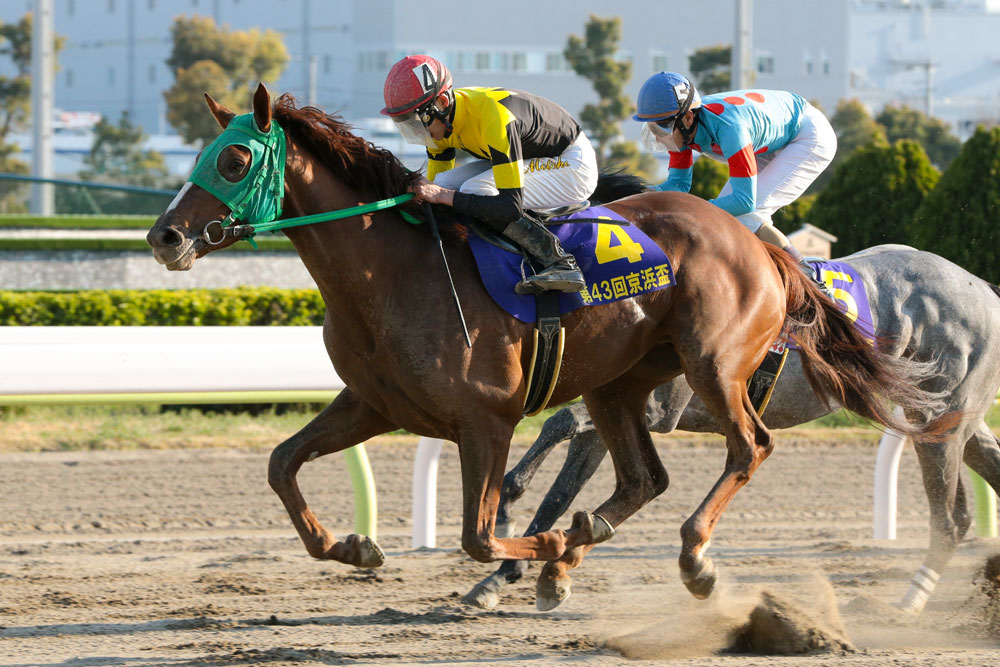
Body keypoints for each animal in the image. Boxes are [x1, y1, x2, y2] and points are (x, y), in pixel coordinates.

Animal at [465, 244, 1000, 613]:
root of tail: (984, 287)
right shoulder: (610, 412)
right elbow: (562, 488)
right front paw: (501, 575)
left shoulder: (658, 408)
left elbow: (562, 422)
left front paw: (509, 512)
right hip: (955, 420)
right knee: (986, 473)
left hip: (938, 421)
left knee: (950, 519)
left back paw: (908, 604)